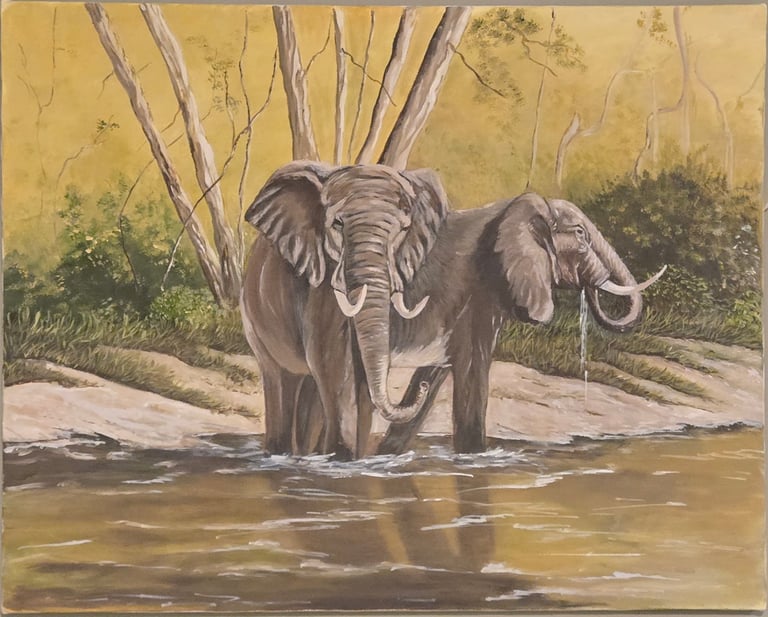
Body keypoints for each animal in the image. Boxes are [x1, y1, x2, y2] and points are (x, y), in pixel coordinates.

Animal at [240, 160, 449, 458]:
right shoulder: (321, 283)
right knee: (281, 379)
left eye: (403, 229)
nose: (423, 384)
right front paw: (342, 457)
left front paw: (353, 460)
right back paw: (281, 453)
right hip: (255, 325)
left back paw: (307, 454)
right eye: (337, 224)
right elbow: (332, 362)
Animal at [369, 191, 665, 454]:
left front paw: (388, 453)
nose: (591, 281)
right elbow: (472, 368)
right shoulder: (474, 290)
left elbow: (435, 372)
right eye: (581, 234)